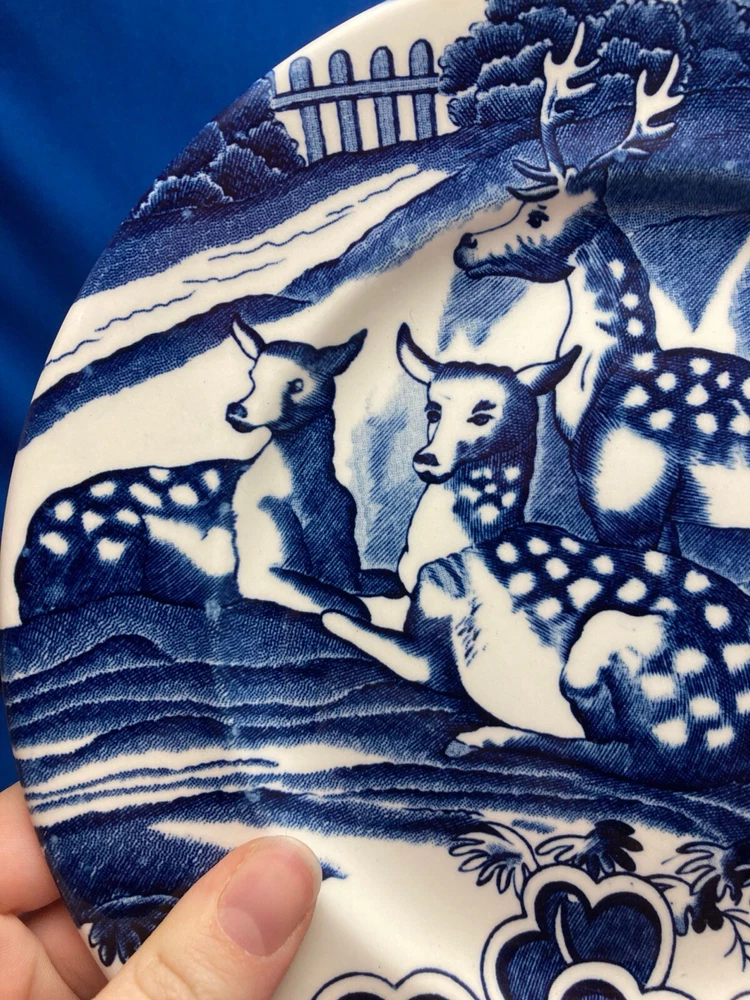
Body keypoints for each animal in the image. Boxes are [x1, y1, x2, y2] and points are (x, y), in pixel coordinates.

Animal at [15, 318, 397, 621]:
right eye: (253, 374)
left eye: (297, 383)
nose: (237, 410)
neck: (308, 494)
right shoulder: (256, 565)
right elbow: (343, 604)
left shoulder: (342, 547)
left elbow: (357, 581)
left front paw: (390, 583)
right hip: (115, 547)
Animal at [323, 326, 750, 789]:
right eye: (433, 409)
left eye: (482, 415)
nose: (426, 460)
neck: (448, 548)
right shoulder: (411, 603)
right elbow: (358, 602)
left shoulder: (437, 657)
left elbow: (343, 619)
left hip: (629, 651)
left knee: (630, 754)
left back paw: (483, 736)